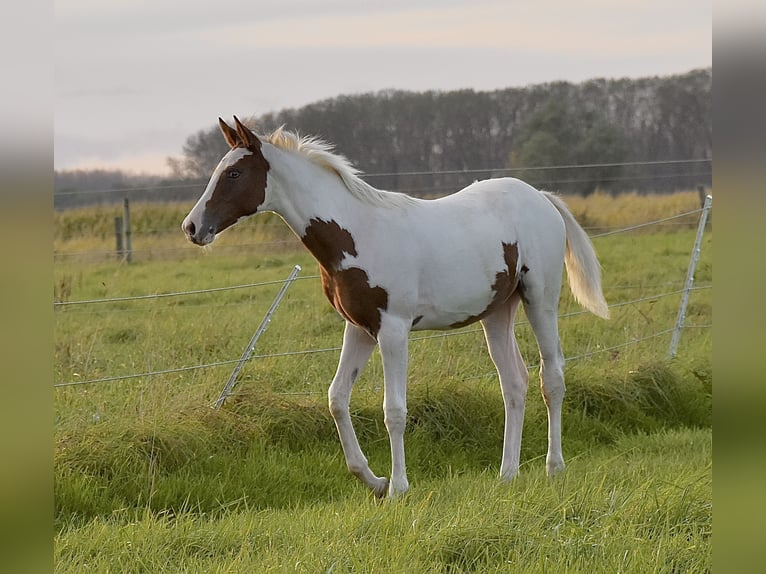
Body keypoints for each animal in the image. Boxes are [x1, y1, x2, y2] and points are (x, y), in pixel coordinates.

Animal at [183, 116, 608, 500]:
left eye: (234, 172)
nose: (192, 227)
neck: (357, 232)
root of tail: (541, 197)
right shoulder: (359, 328)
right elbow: (337, 398)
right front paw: (375, 481)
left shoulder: (393, 330)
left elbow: (395, 411)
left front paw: (399, 487)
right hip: (496, 313)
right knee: (514, 383)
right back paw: (507, 475)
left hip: (541, 300)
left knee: (551, 378)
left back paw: (554, 467)